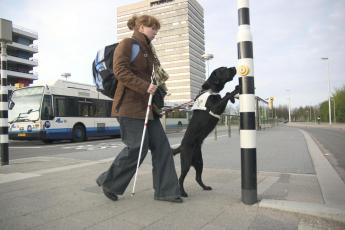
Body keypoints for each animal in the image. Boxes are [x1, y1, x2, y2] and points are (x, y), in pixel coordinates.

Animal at [173, 67, 238, 198]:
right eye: (224, 69)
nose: (234, 67)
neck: (211, 90)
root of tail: (180, 147)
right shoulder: (214, 108)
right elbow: (226, 95)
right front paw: (236, 90)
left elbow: (226, 94)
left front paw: (233, 98)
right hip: (186, 162)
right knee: (180, 178)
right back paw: (183, 193)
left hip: (199, 162)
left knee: (197, 178)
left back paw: (205, 187)